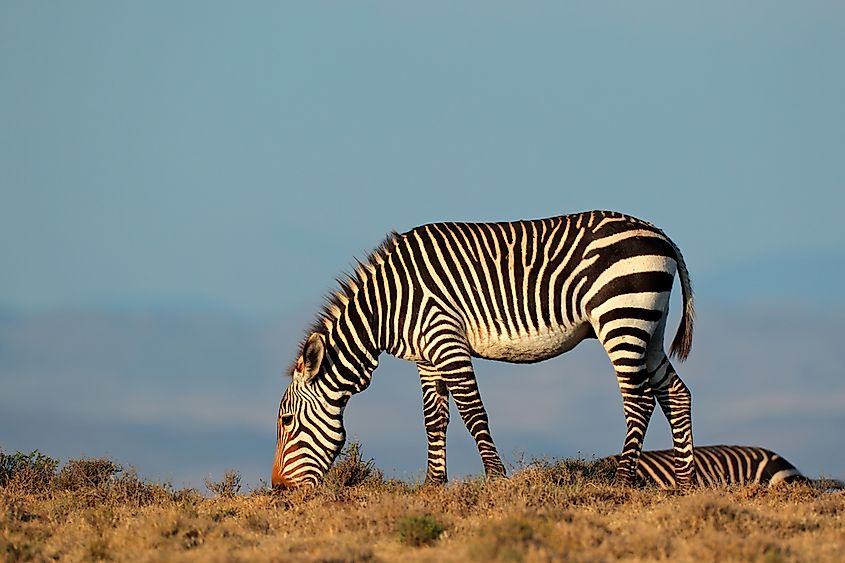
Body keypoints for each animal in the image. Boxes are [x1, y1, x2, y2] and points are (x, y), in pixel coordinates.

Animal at [273, 210, 696, 488]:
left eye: (286, 422)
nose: (278, 489)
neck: (387, 306)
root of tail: (660, 234)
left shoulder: (446, 340)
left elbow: (473, 413)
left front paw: (495, 478)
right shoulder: (426, 358)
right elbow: (434, 420)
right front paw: (432, 485)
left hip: (621, 317)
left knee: (639, 399)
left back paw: (623, 480)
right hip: (649, 327)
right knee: (676, 394)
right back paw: (686, 482)